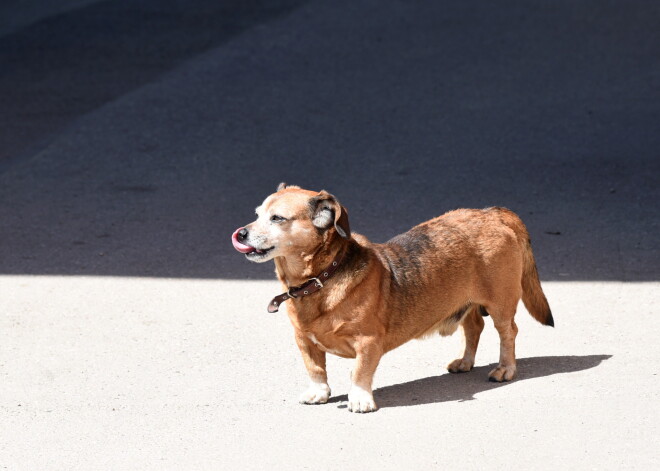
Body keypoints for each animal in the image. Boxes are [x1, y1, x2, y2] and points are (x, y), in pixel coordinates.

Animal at [232, 183, 552, 412]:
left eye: (277, 218)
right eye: (258, 214)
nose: (241, 233)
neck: (321, 279)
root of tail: (493, 213)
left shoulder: (368, 342)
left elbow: (359, 372)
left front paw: (360, 399)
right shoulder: (303, 341)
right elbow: (315, 368)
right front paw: (319, 393)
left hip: (500, 304)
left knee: (508, 332)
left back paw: (505, 368)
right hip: (467, 302)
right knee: (474, 327)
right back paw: (465, 362)